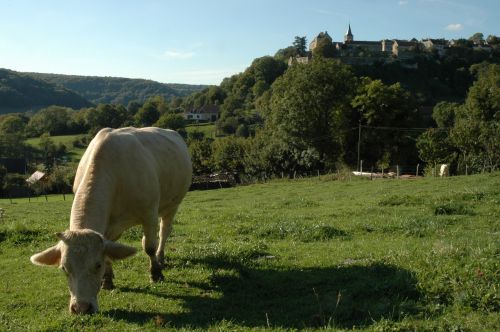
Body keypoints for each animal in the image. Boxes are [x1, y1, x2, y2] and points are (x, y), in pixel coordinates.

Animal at [29, 126, 191, 314]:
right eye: (64, 268)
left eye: (97, 265)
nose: (81, 308)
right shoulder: (107, 228)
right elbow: (109, 251)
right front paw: (107, 280)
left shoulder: (149, 213)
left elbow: (149, 246)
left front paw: (155, 273)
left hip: (172, 204)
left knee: (164, 231)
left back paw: (161, 257)